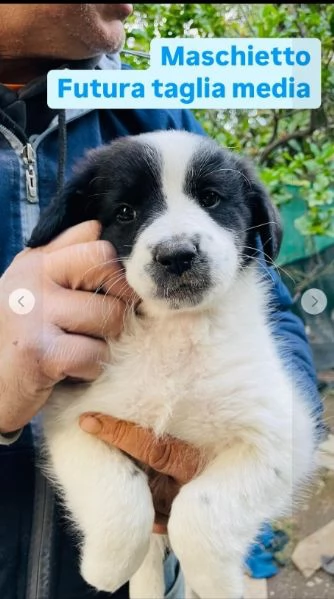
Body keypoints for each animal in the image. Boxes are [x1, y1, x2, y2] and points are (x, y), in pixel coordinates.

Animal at [28, 132, 316, 599]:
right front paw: (105, 567)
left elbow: (201, 508)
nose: (177, 254)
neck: (175, 334)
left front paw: (217, 581)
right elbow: (121, 499)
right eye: (125, 212)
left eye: (212, 199)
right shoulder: (76, 419)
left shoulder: (279, 435)